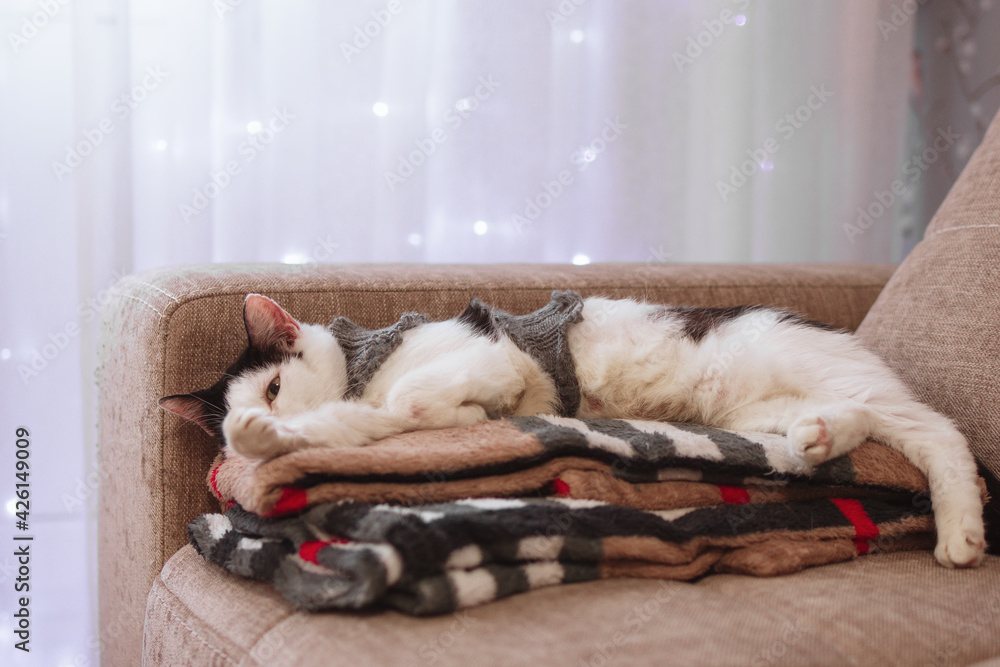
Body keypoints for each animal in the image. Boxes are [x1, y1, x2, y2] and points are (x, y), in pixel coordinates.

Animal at [160, 292, 988, 568]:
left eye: (276, 384)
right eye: (238, 418)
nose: (273, 415)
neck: (368, 364)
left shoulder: (490, 355)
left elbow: (416, 406)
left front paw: (457, 412)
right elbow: (369, 420)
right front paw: (275, 442)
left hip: (813, 371)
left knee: (939, 431)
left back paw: (961, 532)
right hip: (749, 412)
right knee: (856, 423)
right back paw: (818, 439)